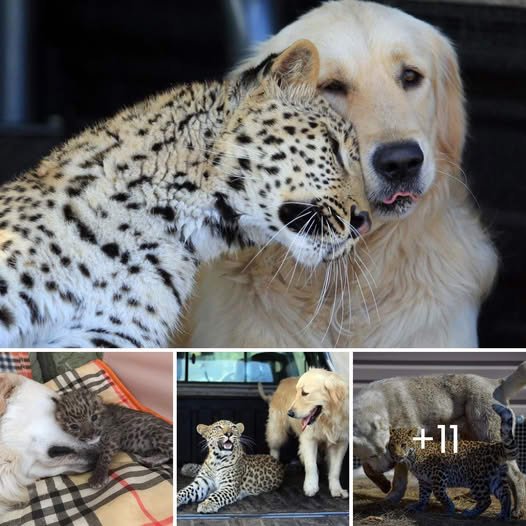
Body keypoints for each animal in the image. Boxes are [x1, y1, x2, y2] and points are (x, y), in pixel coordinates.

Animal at [392, 406, 520, 520]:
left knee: (486, 500)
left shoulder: (438, 473)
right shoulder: (424, 480)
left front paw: (450, 507)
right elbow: (423, 495)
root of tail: (495, 446)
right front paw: (418, 506)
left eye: (403, 445)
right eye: (392, 445)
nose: (396, 455)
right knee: (505, 494)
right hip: (495, 478)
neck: (412, 458)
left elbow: (438, 493)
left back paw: (470, 514)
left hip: (476, 480)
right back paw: (504, 515)